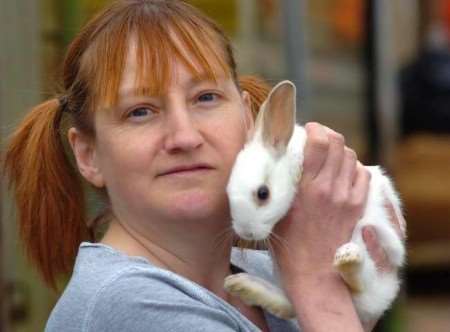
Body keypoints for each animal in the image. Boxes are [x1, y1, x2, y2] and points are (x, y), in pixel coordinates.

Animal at [223, 80, 406, 324]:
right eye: (227, 192)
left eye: (263, 193)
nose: (246, 233)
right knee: (290, 305)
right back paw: (242, 286)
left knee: (358, 286)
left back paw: (348, 258)